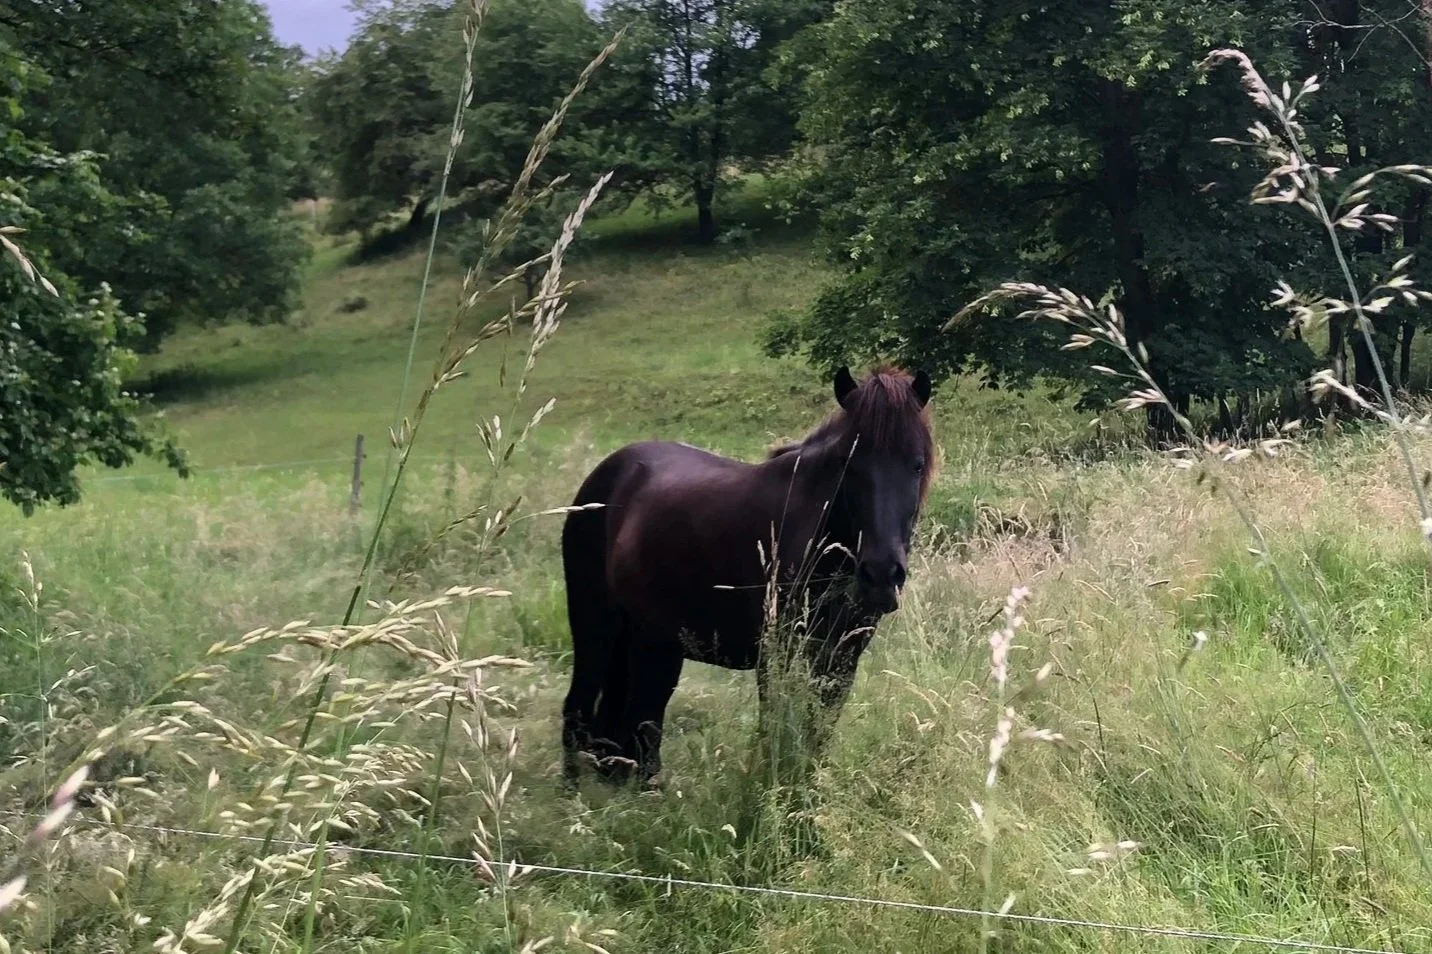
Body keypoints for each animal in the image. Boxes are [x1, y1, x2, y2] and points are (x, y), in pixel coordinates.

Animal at [558, 364, 936, 789]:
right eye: (848, 463)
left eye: (916, 464)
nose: (881, 575)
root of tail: (601, 479)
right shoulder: (777, 656)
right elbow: (775, 730)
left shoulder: (842, 659)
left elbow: (817, 734)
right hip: (595, 629)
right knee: (580, 708)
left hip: (651, 641)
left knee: (641, 717)